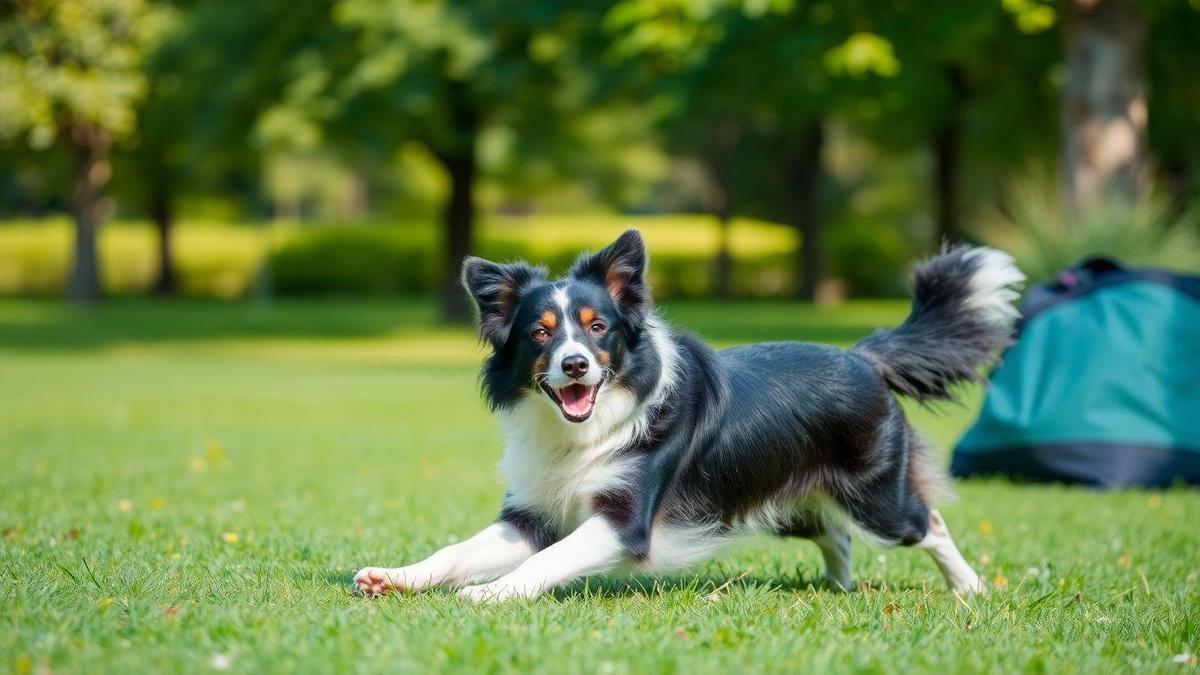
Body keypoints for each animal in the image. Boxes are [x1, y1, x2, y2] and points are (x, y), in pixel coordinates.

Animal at [352, 229, 1022, 598]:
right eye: (540, 334)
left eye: (598, 328)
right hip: (781, 495)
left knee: (925, 521)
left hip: (876, 495)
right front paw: (397, 578)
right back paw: (837, 588)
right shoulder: (532, 513)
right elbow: (460, 549)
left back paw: (969, 588)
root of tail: (863, 357)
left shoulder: (624, 521)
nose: (575, 365)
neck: (588, 429)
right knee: (832, 530)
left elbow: (551, 558)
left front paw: (489, 596)